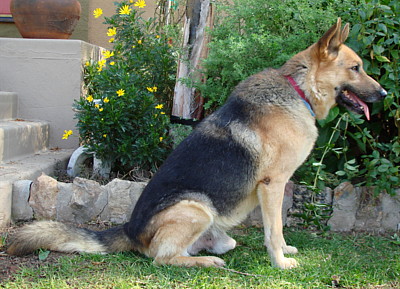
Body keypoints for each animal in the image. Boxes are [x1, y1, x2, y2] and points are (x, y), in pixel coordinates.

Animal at [7, 18, 386, 268]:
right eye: (356, 68)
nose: (383, 94)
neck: (299, 90)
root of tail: (129, 229)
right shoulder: (273, 185)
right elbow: (274, 229)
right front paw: (281, 263)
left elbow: (276, 230)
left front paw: (285, 252)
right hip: (195, 207)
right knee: (162, 260)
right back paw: (205, 265)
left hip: (217, 230)